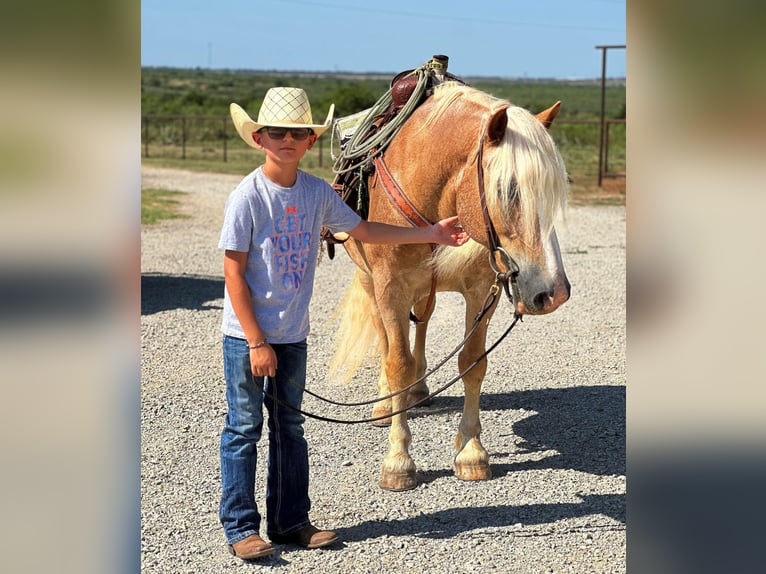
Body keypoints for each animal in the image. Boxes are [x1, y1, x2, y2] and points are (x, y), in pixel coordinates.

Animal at [330, 81, 568, 492]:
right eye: (509, 191)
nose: (553, 292)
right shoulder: (390, 287)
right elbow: (397, 362)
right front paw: (398, 460)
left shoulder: (481, 291)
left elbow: (472, 363)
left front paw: (471, 452)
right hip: (370, 281)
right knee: (386, 339)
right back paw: (384, 403)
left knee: (422, 325)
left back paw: (419, 391)